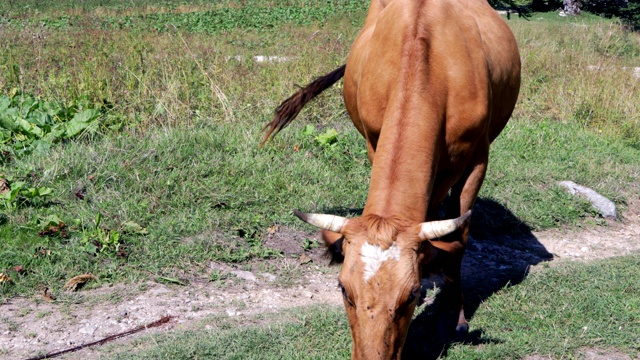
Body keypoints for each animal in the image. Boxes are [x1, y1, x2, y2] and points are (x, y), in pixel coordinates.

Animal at [262, 0, 516, 358]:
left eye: (410, 294)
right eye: (343, 288)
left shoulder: (479, 157)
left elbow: (460, 238)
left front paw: (457, 316)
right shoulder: (373, 140)